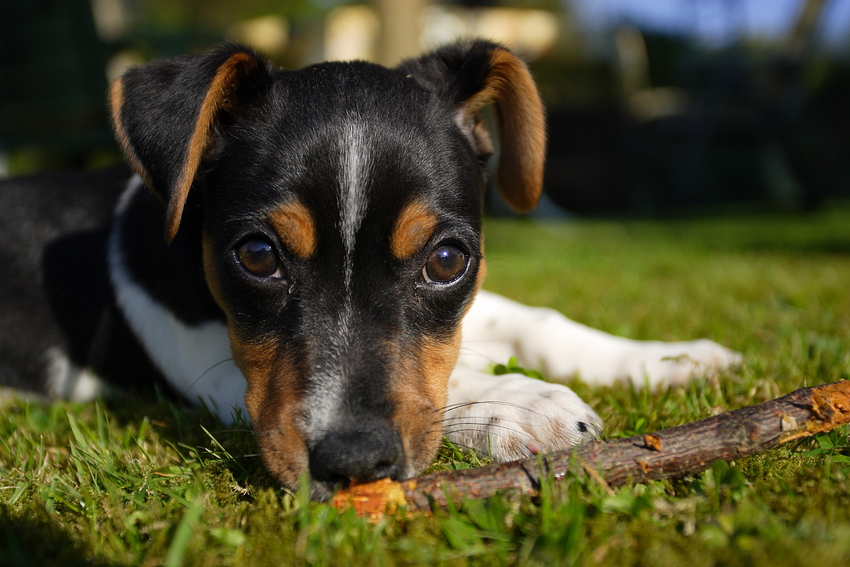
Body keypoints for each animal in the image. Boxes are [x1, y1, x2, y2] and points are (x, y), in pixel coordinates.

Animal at [0, 41, 736, 502]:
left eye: (447, 259)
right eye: (257, 255)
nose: (352, 462)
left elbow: (538, 320)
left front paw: (666, 358)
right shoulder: (213, 366)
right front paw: (519, 401)